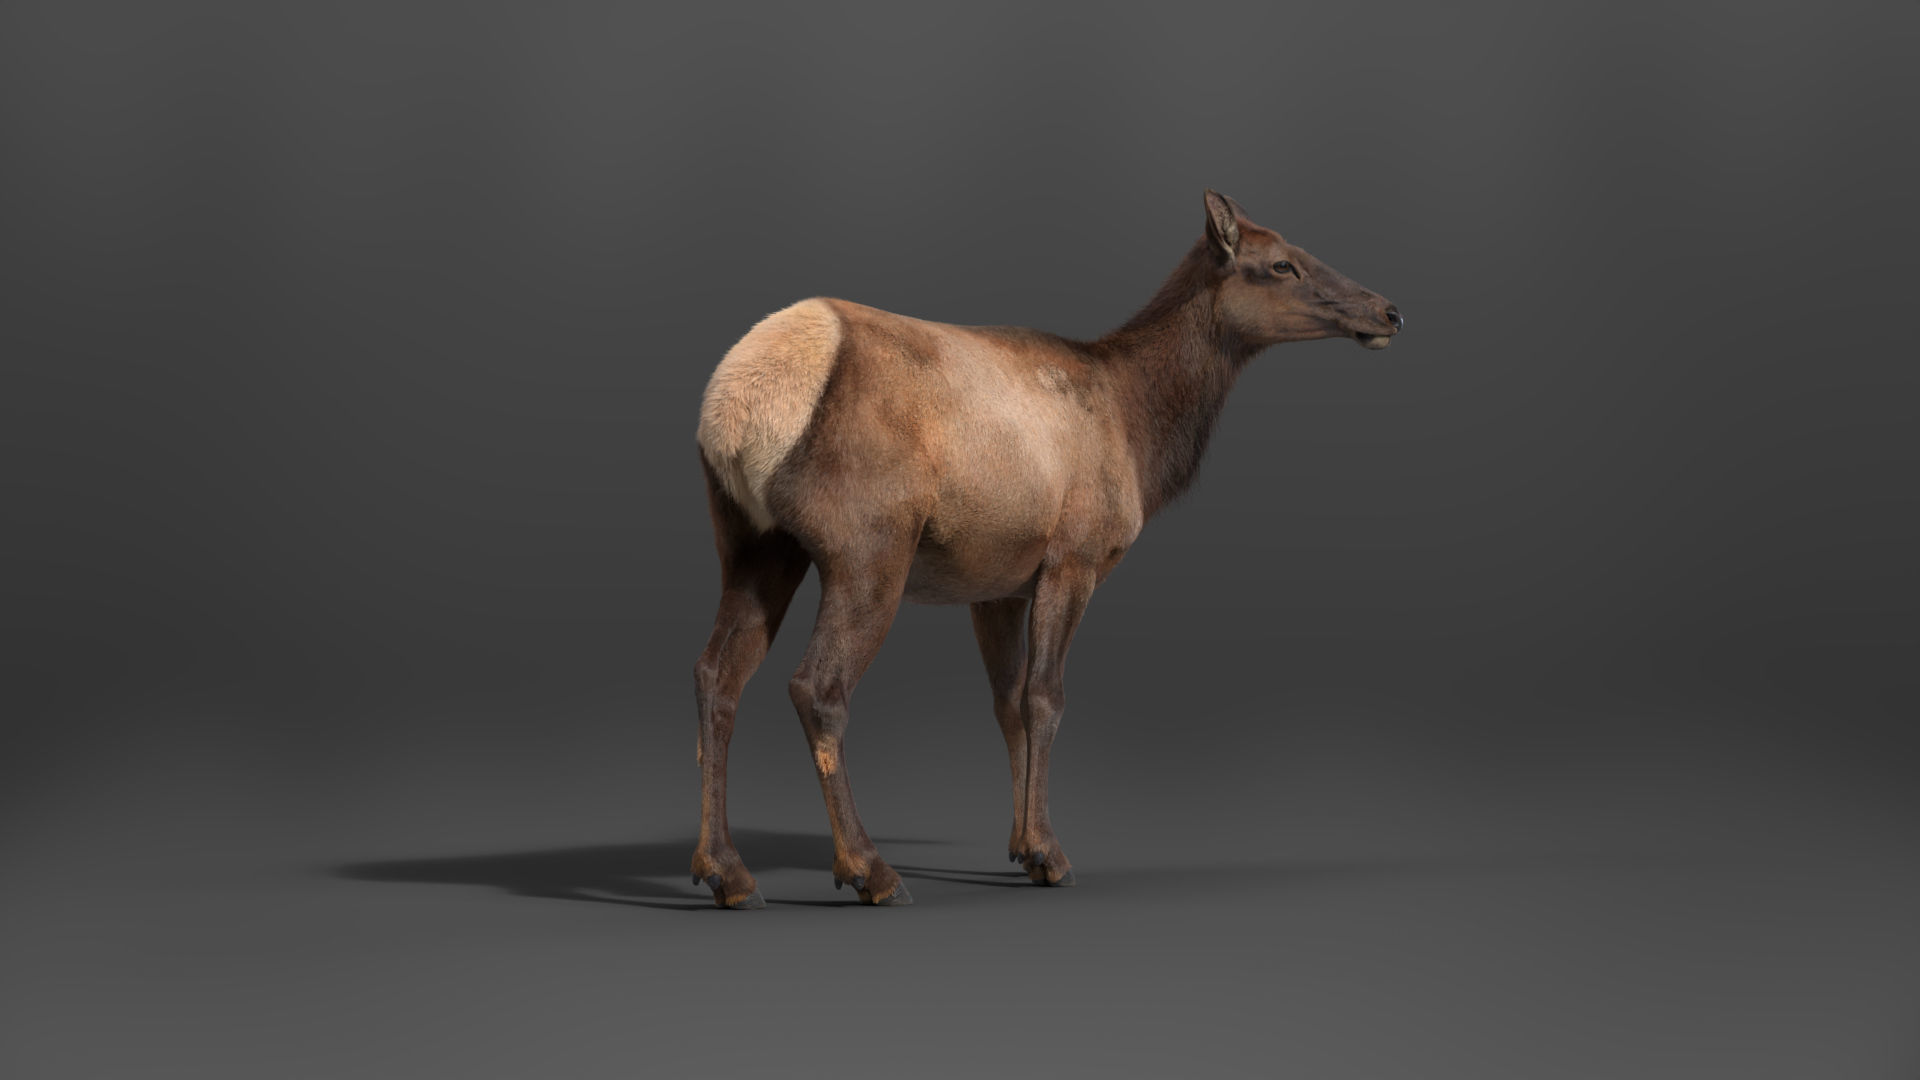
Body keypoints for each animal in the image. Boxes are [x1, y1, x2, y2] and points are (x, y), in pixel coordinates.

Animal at [690, 190, 1401, 908]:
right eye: (1282, 263)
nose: (1389, 311)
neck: (1140, 431)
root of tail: (731, 414)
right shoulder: (1074, 556)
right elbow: (1045, 697)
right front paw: (1048, 853)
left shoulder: (996, 584)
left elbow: (1008, 704)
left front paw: (1018, 846)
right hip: (868, 552)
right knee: (817, 687)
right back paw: (868, 868)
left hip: (754, 545)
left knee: (716, 674)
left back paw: (725, 870)